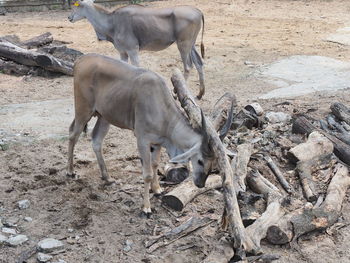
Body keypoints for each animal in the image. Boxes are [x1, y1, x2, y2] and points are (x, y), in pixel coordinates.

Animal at [67, 0, 206, 99]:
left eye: (77, 6)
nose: (69, 17)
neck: (113, 22)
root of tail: (198, 11)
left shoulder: (132, 50)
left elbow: (136, 68)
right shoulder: (123, 52)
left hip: (183, 45)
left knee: (188, 67)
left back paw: (177, 94)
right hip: (191, 45)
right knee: (199, 63)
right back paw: (200, 94)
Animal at [67, 54, 230, 218]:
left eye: (213, 162)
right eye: (200, 161)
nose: (200, 184)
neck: (161, 106)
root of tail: (81, 60)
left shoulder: (156, 143)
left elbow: (155, 164)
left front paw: (157, 189)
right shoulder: (142, 140)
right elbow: (147, 174)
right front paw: (146, 208)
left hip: (104, 116)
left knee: (96, 141)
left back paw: (107, 177)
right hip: (83, 110)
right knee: (73, 135)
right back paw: (70, 171)